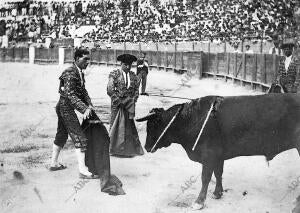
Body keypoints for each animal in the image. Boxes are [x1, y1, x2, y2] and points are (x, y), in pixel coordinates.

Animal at [137, 94, 300, 210]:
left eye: (152, 125)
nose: (147, 147)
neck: (192, 118)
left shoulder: (209, 156)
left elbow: (205, 177)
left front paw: (199, 202)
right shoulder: (218, 156)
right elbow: (218, 173)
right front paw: (217, 193)